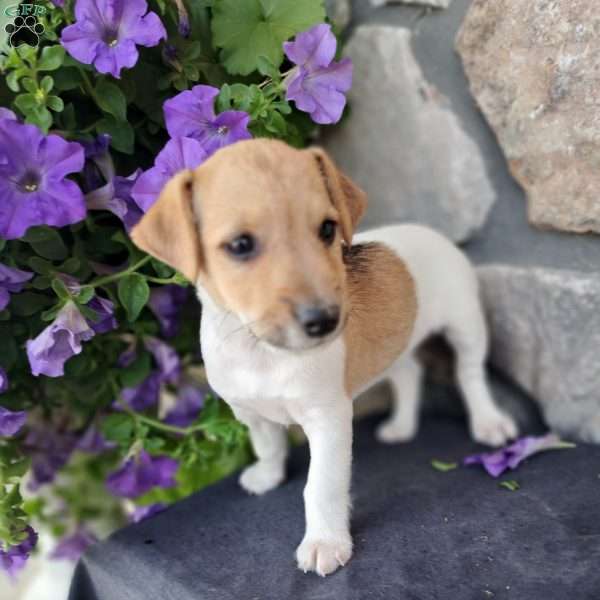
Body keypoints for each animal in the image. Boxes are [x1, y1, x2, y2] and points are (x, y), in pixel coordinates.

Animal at [130, 139, 516, 576]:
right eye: (241, 245)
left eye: (328, 229)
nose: (325, 321)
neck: (261, 351)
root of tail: (433, 233)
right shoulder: (252, 414)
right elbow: (269, 447)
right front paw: (268, 477)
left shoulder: (328, 420)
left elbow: (320, 486)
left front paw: (325, 542)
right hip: (396, 344)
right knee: (409, 374)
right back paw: (401, 426)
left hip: (466, 328)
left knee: (470, 376)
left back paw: (488, 422)